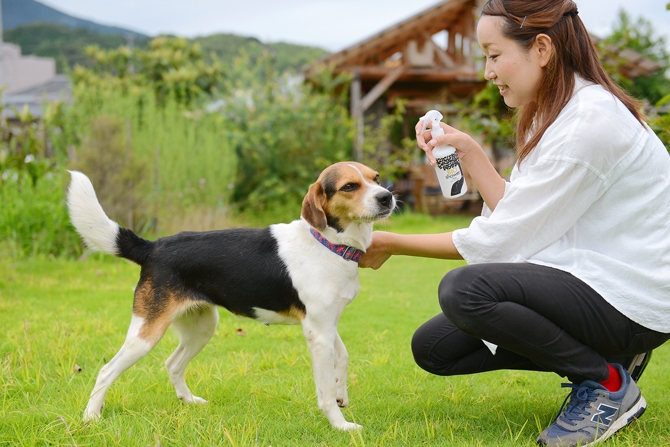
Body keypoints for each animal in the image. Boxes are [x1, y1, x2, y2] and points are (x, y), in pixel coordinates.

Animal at [66, 162, 396, 430]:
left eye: (376, 178)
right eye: (349, 186)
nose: (387, 197)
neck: (328, 243)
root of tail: (153, 246)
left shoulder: (326, 325)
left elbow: (343, 358)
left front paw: (342, 396)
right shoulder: (318, 331)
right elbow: (325, 390)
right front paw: (340, 425)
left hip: (201, 327)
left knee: (172, 363)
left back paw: (189, 401)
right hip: (146, 333)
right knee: (106, 370)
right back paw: (91, 417)